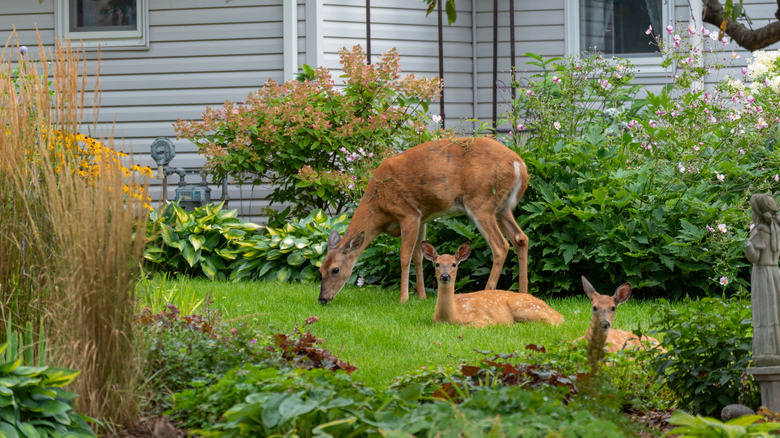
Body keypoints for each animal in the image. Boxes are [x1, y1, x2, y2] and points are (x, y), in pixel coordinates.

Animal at [319, 137, 530, 304]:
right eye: (320, 269)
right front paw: (421, 296)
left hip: (481, 202)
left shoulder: (408, 213)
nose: (322, 299)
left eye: (335, 270)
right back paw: (524, 294)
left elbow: (404, 256)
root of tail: (519, 165)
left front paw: (403, 298)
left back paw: (487, 293)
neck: (379, 207)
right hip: (502, 208)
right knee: (521, 238)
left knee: (501, 245)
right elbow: (418, 256)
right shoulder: (422, 219)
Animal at [421, 241, 564, 326]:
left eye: (454, 264)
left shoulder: (482, 319)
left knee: (548, 321)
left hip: (526, 309)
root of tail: (559, 315)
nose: (445, 276)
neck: (451, 316)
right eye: (437, 264)